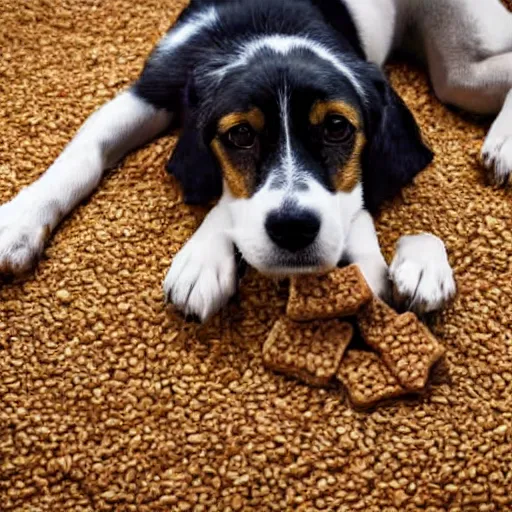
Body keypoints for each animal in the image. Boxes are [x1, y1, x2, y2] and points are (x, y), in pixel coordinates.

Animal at [1, 0, 508, 320]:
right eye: (240, 135)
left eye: (337, 128)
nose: (294, 230)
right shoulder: (152, 88)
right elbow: (82, 154)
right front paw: (19, 224)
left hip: (465, 65)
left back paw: (502, 143)